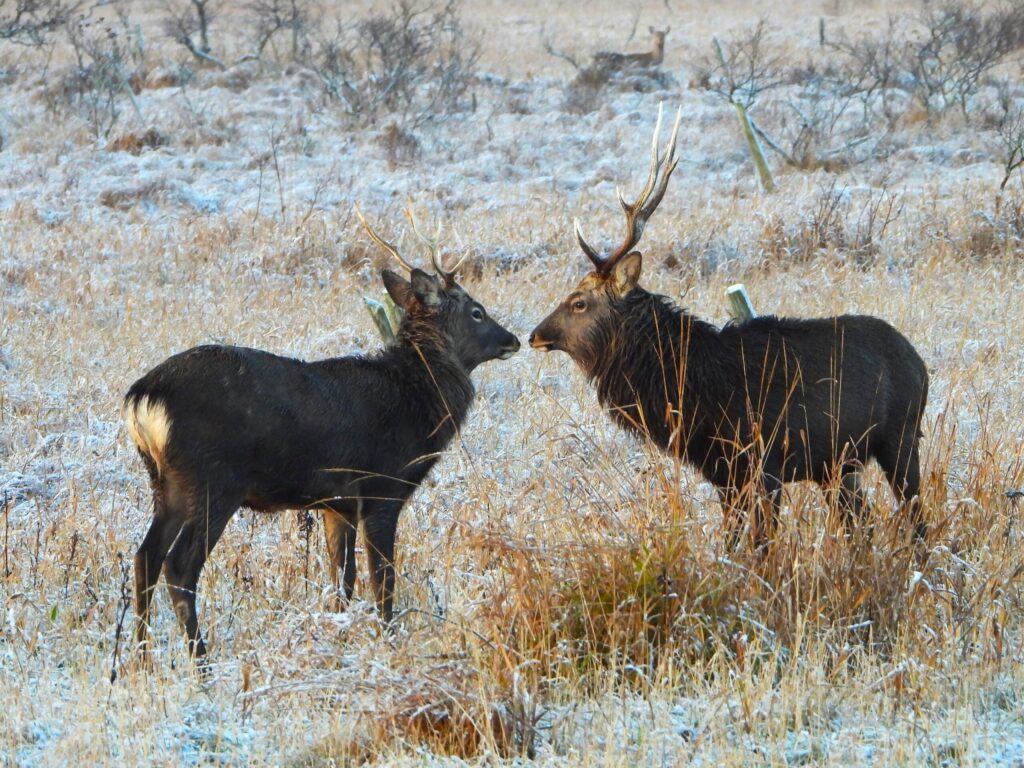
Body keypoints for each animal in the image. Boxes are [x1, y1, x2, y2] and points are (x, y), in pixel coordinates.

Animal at [124, 209, 520, 665]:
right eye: (477, 311)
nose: (514, 339)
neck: (415, 402)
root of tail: (143, 396)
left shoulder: (337, 503)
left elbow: (342, 581)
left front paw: (338, 636)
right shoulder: (382, 488)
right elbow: (382, 580)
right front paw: (388, 642)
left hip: (165, 481)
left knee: (145, 556)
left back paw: (140, 658)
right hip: (212, 478)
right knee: (179, 566)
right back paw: (201, 663)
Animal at [529, 106, 929, 551]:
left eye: (579, 302)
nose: (534, 334)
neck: (695, 391)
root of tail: (919, 363)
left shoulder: (764, 463)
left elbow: (761, 544)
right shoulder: (723, 472)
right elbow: (733, 542)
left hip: (901, 436)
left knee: (917, 515)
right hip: (837, 464)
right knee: (862, 519)